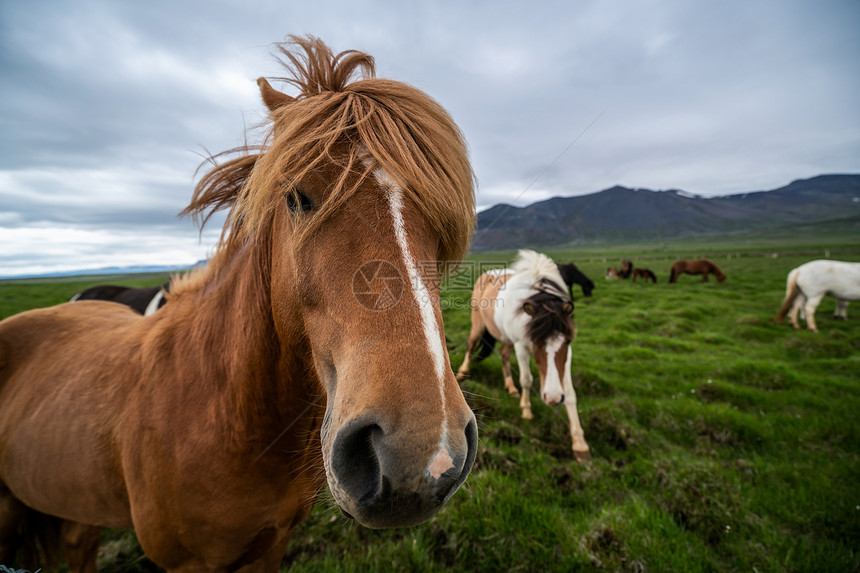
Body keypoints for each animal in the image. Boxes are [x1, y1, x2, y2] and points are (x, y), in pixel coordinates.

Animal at [456, 249, 592, 460]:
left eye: (567, 341)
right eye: (535, 342)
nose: (553, 399)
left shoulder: (567, 354)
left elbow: (570, 393)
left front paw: (579, 443)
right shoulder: (521, 346)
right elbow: (527, 379)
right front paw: (526, 410)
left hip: (504, 336)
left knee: (504, 354)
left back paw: (510, 387)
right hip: (478, 324)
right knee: (471, 346)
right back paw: (462, 373)